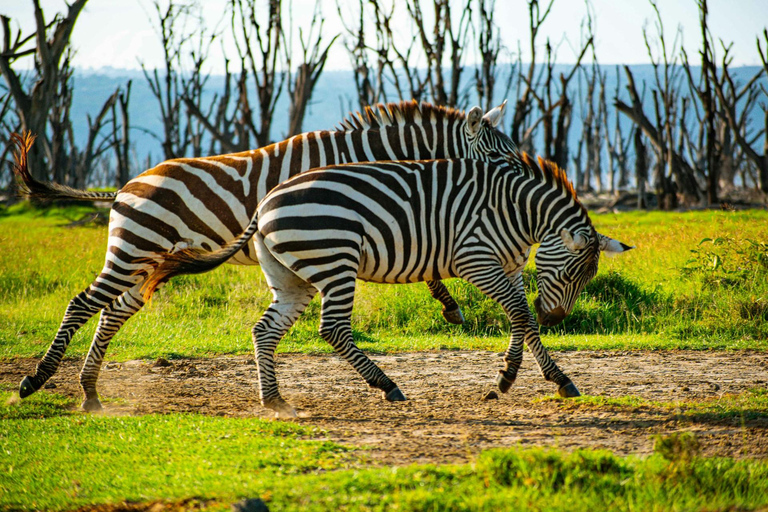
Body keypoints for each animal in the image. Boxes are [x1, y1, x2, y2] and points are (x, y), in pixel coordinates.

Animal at [12, 101, 516, 412]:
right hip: (134, 249)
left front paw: (449, 305)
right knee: (82, 304)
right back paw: (36, 381)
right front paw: (450, 305)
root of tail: (124, 187)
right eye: (502, 158)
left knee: (112, 312)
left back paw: (90, 393)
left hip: (148, 261)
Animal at [142, 150, 632, 418]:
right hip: (334, 260)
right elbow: (520, 317)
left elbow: (521, 318)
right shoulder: (475, 260)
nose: (558, 318)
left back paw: (275, 400)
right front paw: (549, 378)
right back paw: (387, 385)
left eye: (585, 279)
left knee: (265, 330)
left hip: (292, 276)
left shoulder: (507, 266)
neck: (516, 212)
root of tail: (264, 204)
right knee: (333, 329)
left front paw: (513, 378)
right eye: (570, 274)